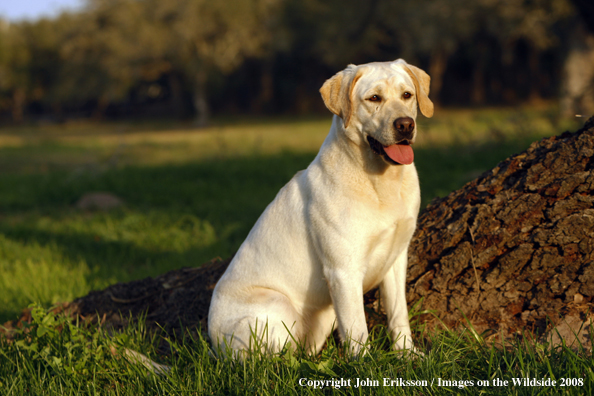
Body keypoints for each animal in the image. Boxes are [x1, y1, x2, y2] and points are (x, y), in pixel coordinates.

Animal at [207, 59, 430, 358]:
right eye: (374, 98)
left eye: (407, 95)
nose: (406, 125)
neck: (381, 184)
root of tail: (213, 346)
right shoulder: (344, 271)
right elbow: (358, 328)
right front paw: (364, 363)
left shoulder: (396, 258)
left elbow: (398, 314)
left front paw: (407, 354)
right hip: (278, 308)